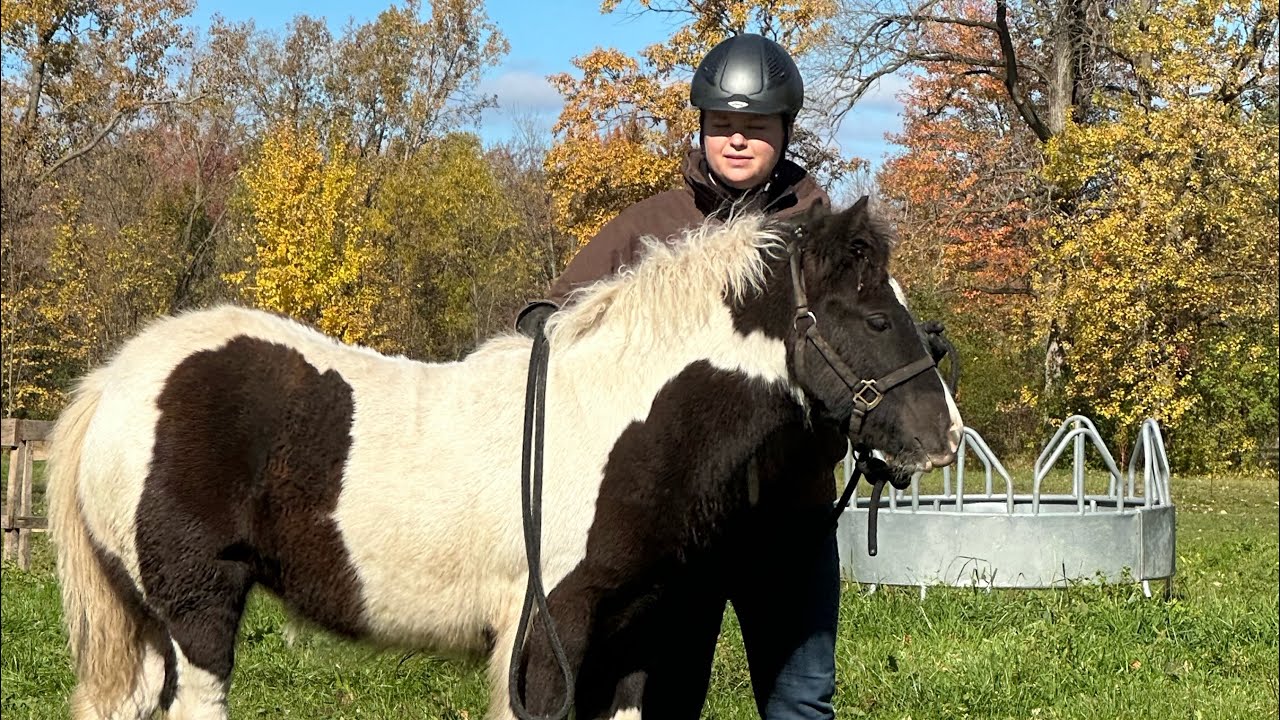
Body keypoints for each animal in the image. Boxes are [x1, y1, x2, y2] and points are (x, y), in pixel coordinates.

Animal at [47, 197, 962, 720]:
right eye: (875, 318)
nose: (943, 438)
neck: (613, 422)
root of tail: (115, 383)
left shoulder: (628, 640)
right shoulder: (547, 632)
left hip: (149, 621)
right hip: (198, 610)